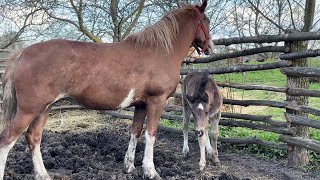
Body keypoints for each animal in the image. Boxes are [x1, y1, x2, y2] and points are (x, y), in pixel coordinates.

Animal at [0, 0, 212, 179]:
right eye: (206, 21)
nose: (210, 47)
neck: (159, 51)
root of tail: (23, 53)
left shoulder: (141, 105)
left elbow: (135, 132)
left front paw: (129, 166)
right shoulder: (156, 101)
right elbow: (150, 135)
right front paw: (150, 171)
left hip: (44, 108)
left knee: (33, 138)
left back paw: (43, 175)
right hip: (29, 110)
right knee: (7, 140)